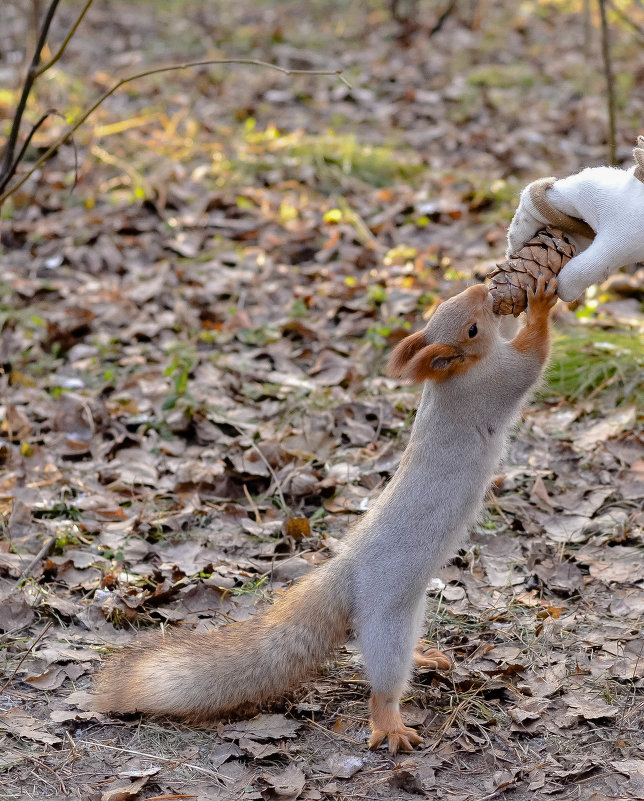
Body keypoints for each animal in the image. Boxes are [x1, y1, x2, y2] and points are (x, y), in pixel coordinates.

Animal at [92, 274, 560, 752]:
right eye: (471, 328)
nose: (483, 288)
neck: (454, 377)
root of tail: (347, 571)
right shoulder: (495, 380)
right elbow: (533, 358)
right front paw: (542, 303)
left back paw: (424, 656)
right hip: (386, 619)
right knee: (383, 682)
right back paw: (390, 725)